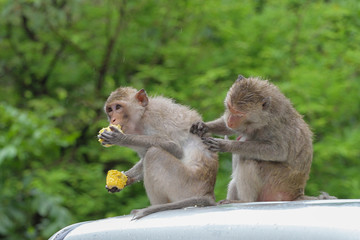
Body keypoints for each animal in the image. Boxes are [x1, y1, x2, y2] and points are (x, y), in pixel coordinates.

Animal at [97, 87, 219, 219]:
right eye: (110, 110)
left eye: (118, 107)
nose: (113, 119)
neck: (142, 116)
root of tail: (208, 193)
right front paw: (123, 179)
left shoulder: (154, 119)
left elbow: (175, 148)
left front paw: (120, 138)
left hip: (186, 187)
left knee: (154, 154)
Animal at [190, 76, 336, 203]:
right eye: (230, 107)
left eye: (239, 114)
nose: (230, 121)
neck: (266, 116)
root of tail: (297, 193)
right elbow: (230, 129)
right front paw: (203, 127)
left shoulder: (275, 126)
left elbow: (278, 151)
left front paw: (225, 145)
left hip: (277, 184)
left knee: (248, 160)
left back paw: (245, 201)